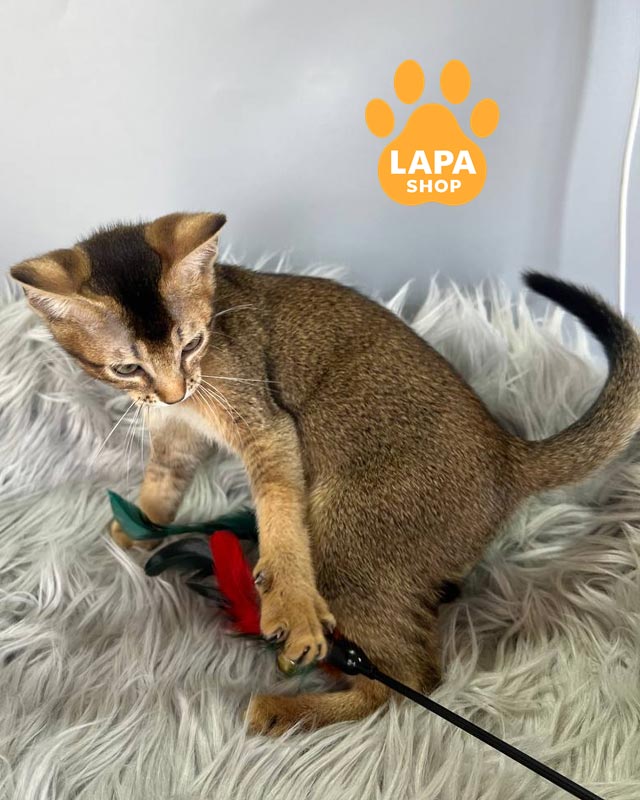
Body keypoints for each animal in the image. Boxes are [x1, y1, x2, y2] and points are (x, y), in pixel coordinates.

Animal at [11, 212, 640, 735]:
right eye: (126, 367)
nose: (174, 388)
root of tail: (508, 452)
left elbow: (279, 505)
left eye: (192, 344)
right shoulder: (176, 434)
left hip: (348, 534)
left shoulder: (267, 426)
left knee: (415, 678)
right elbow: (160, 484)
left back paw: (289, 707)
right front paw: (132, 530)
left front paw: (290, 603)